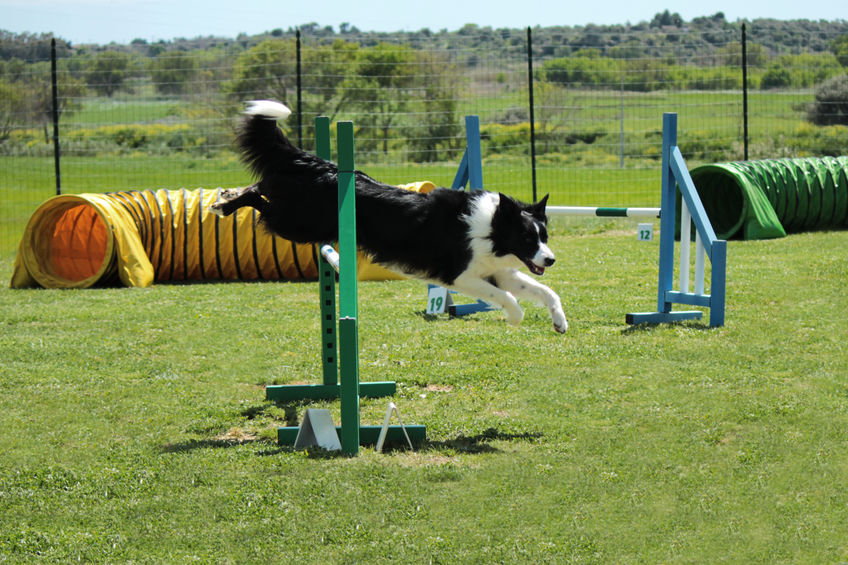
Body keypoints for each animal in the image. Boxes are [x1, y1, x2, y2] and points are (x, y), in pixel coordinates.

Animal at [212, 100, 568, 330]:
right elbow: (506, 297)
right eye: (527, 237)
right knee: (259, 196)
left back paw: (225, 196)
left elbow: (545, 291)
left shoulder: (497, 270)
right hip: (297, 224)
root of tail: (321, 165)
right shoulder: (460, 275)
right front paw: (515, 317)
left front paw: (559, 322)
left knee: (261, 185)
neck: (490, 229)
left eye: (544, 236)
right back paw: (223, 204)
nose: (551, 260)